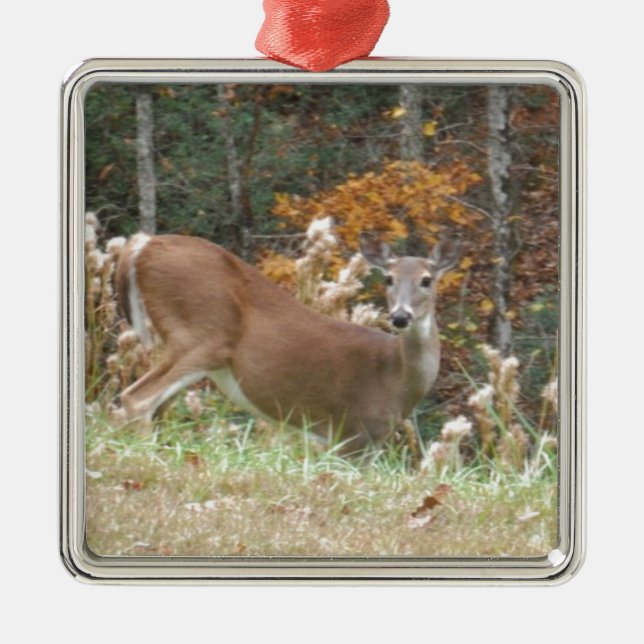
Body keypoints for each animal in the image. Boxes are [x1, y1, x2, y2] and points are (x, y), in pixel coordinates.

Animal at [114, 231, 458, 452]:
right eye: (388, 278)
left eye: (426, 280)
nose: (400, 317)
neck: (393, 374)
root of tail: (143, 244)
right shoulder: (355, 432)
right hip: (202, 334)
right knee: (137, 398)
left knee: (157, 405)